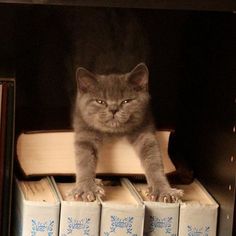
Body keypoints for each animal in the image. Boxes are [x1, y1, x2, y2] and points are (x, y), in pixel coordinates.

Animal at [70, 63, 183, 203]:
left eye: (126, 101)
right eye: (100, 101)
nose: (113, 109)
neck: (114, 132)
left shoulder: (145, 132)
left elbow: (154, 160)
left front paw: (163, 190)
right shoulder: (85, 132)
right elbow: (84, 160)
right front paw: (86, 188)